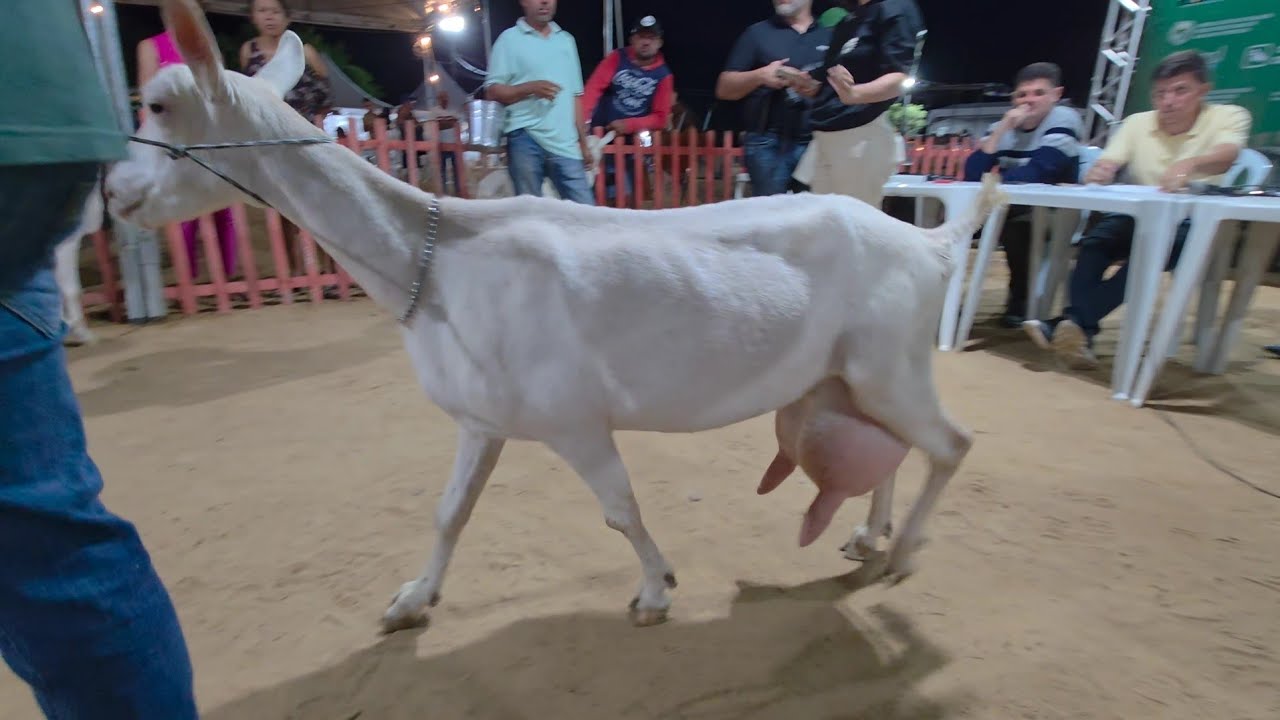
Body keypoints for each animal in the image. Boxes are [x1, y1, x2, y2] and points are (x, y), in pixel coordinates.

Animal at [105, 0, 1007, 633]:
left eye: (160, 104)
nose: (113, 192)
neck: (437, 258)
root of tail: (927, 241)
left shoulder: (574, 419)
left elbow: (620, 509)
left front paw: (655, 590)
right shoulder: (481, 419)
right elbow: (450, 510)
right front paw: (413, 599)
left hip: (891, 362)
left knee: (953, 443)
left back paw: (905, 553)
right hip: (857, 371)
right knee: (894, 448)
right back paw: (870, 536)